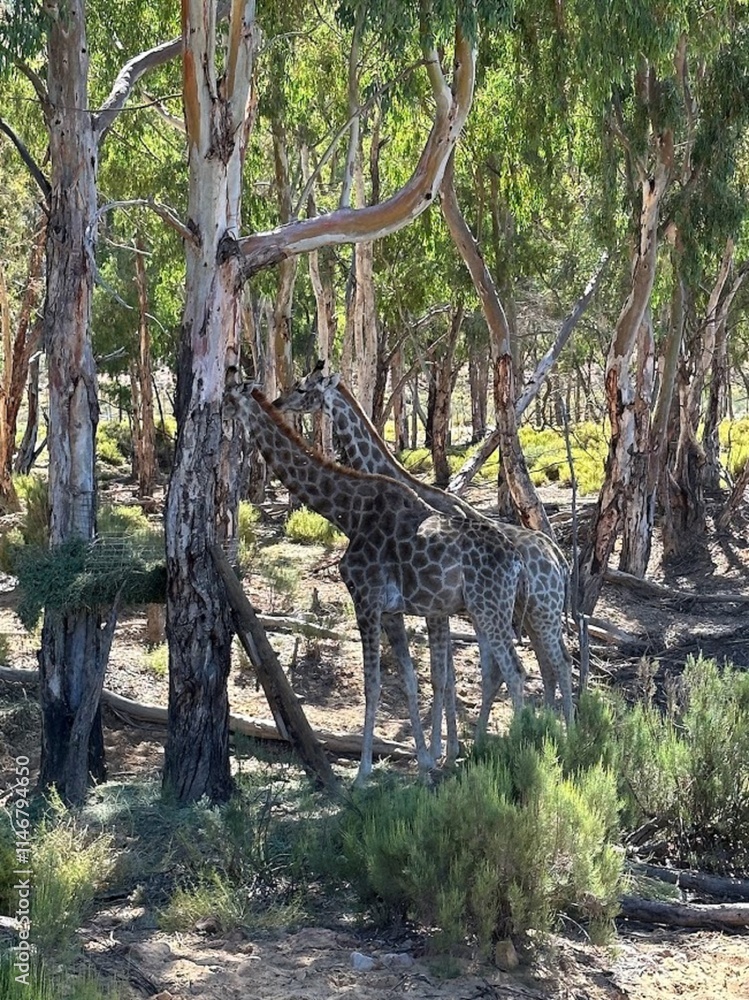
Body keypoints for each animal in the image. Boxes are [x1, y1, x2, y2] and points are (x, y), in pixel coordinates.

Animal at [223, 382, 527, 782]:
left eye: (302, 387)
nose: (216, 410)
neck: (349, 513)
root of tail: (516, 561)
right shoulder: (393, 611)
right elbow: (412, 679)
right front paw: (426, 763)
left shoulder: (365, 599)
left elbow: (374, 684)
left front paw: (363, 772)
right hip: (484, 610)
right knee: (503, 671)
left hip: (488, 609)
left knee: (515, 673)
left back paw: (523, 752)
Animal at [273, 364, 575, 744]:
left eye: (302, 387)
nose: (278, 402)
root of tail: (558, 558)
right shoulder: (443, 609)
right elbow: (446, 676)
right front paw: (449, 745)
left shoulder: (437, 607)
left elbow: (443, 676)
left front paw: (445, 747)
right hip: (530, 614)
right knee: (546, 666)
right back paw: (548, 732)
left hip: (536, 611)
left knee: (553, 665)